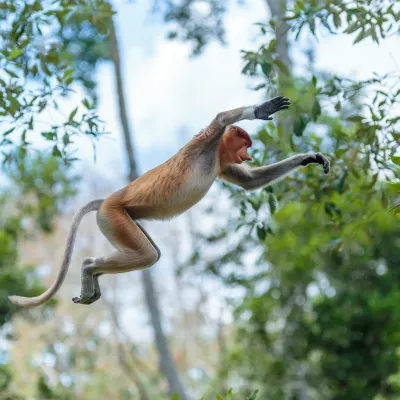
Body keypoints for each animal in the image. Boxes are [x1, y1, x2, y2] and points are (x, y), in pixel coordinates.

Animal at [9, 96, 330, 306]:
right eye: (245, 144)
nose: (247, 156)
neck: (215, 153)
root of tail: (109, 199)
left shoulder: (222, 163)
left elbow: (250, 182)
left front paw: (310, 158)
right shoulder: (202, 145)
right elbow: (221, 119)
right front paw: (261, 108)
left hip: (123, 219)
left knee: (151, 253)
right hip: (114, 216)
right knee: (147, 255)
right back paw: (89, 268)